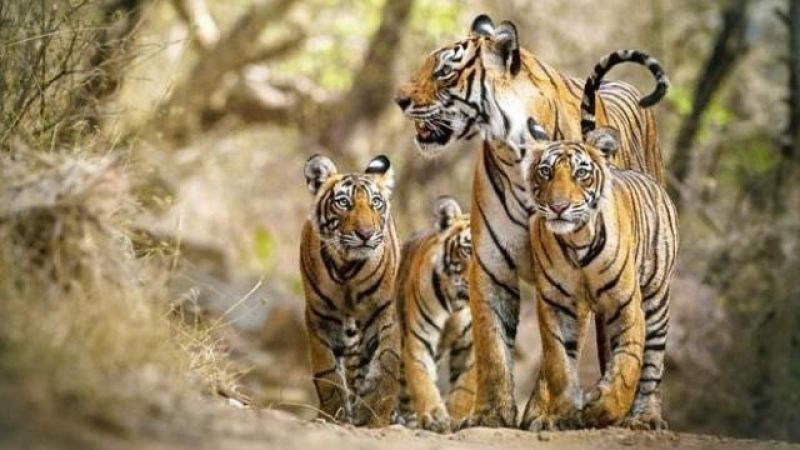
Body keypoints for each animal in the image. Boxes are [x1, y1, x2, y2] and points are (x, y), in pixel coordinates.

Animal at [300, 154, 402, 427]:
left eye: (375, 203)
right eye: (343, 203)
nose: (365, 234)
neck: (347, 270)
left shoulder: (386, 316)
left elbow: (386, 367)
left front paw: (376, 418)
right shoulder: (319, 318)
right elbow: (327, 373)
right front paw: (332, 415)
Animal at [396, 196, 475, 433]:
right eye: (467, 250)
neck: (457, 303)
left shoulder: (472, 345)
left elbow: (465, 386)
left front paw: (457, 416)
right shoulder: (418, 340)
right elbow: (422, 381)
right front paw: (434, 417)